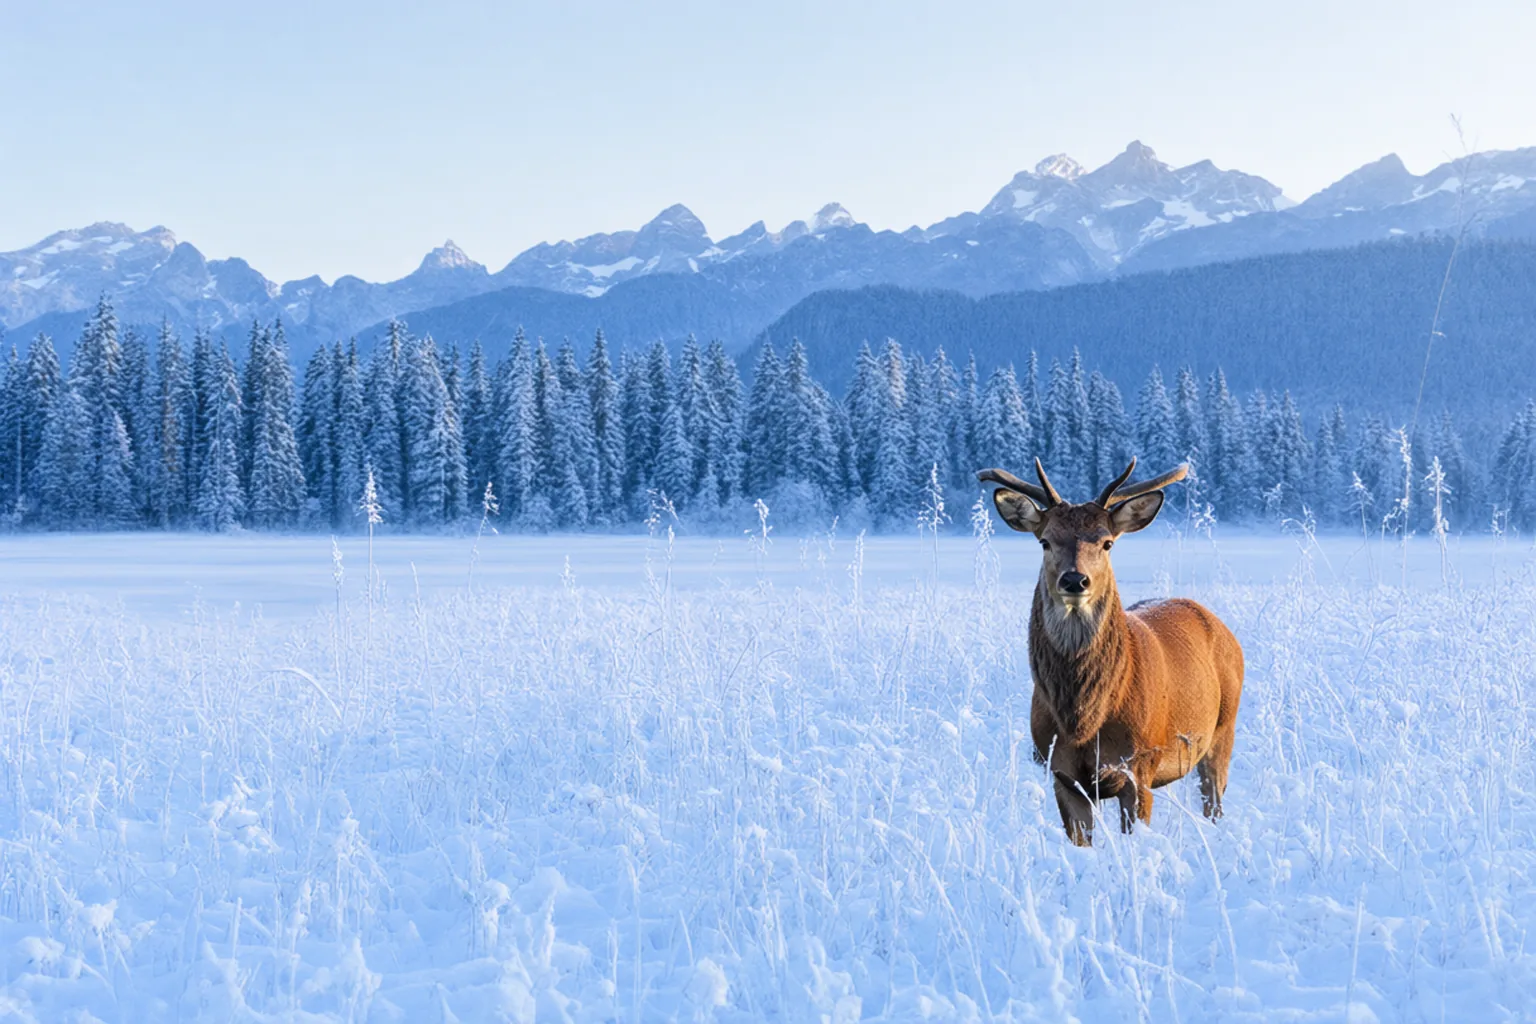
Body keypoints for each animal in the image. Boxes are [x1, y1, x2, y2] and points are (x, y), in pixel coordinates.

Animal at [978, 457, 1244, 846]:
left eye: (1106, 543)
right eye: (1044, 541)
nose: (1075, 580)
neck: (1083, 719)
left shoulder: (1139, 765)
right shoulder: (1060, 771)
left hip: (1224, 729)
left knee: (1215, 802)